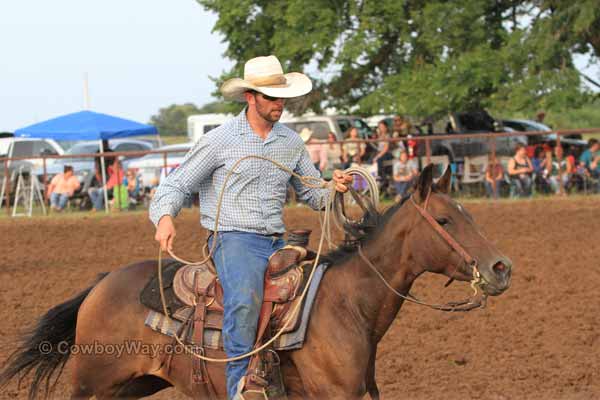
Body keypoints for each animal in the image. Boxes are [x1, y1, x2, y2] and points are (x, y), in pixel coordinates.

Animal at [2, 164, 512, 398]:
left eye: (467, 213)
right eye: (444, 219)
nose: (501, 267)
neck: (346, 305)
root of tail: (103, 283)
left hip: (134, 385)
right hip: (93, 384)